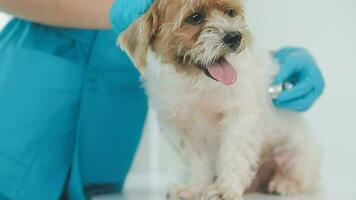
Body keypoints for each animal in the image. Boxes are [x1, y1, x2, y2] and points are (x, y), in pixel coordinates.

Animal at [118, 0, 322, 200]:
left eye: (230, 13)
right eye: (195, 17)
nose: (235, 37)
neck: (197, 84)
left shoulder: (240, 119)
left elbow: (233, 155)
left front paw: (225, 189)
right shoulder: (185, 132)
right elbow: (198, 163)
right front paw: (195, 188)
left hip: (295, 156)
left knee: (303, 179)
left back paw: (285, 184)